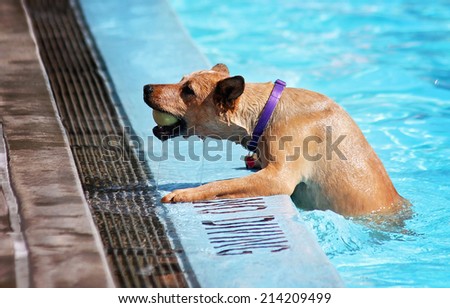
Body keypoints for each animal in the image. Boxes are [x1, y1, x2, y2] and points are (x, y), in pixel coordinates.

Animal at [144, 63, 408, 215]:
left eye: (188, 90)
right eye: (180, 80)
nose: (146, 87)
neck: (265, 112)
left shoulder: (278, 178)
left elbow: (220, 184)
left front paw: (184, 193)